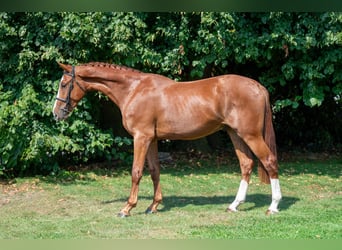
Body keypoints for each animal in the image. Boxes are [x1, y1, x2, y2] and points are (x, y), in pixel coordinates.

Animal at [53, 62, 282, 217]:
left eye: (64, 84)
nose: (56, 113)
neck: (134, 90)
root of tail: (258, 87)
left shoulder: (141, 137)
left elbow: (136, 172)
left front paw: (127, 208)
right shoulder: (152, 139)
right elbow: (155, 171)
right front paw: (153, 206)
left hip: (251, 135)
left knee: (269, 161)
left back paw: (273, 206)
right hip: (235, 134)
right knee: (246, 164)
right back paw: (234, 204)